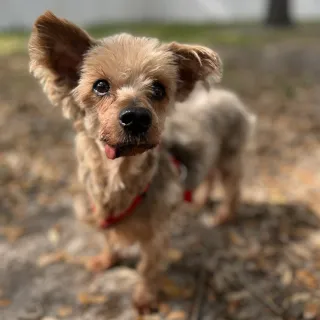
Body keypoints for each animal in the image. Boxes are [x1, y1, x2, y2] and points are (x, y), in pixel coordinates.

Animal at [164, 84, 256, 226]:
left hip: (228, 155)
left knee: (232, 188)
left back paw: (223, 216)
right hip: (212, 153)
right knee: (210, 175)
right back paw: (200, 202)